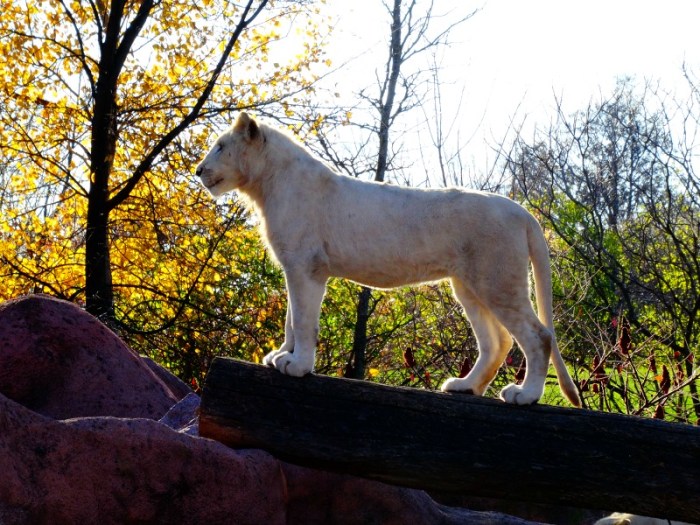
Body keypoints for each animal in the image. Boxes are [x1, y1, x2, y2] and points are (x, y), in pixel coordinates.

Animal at [196, 112, 581, 407]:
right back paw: (464, 386)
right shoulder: (295, 264)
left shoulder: (308, 265)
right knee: (497, 342)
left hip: (497, 280)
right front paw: (281, 357)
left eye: (221, 146)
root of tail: (523, 212)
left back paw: (524, 396)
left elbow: (304, 321)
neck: (265, 185)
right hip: (469, 285)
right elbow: (291, 318)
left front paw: (298, 365)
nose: (199, 171)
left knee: (538, 336)